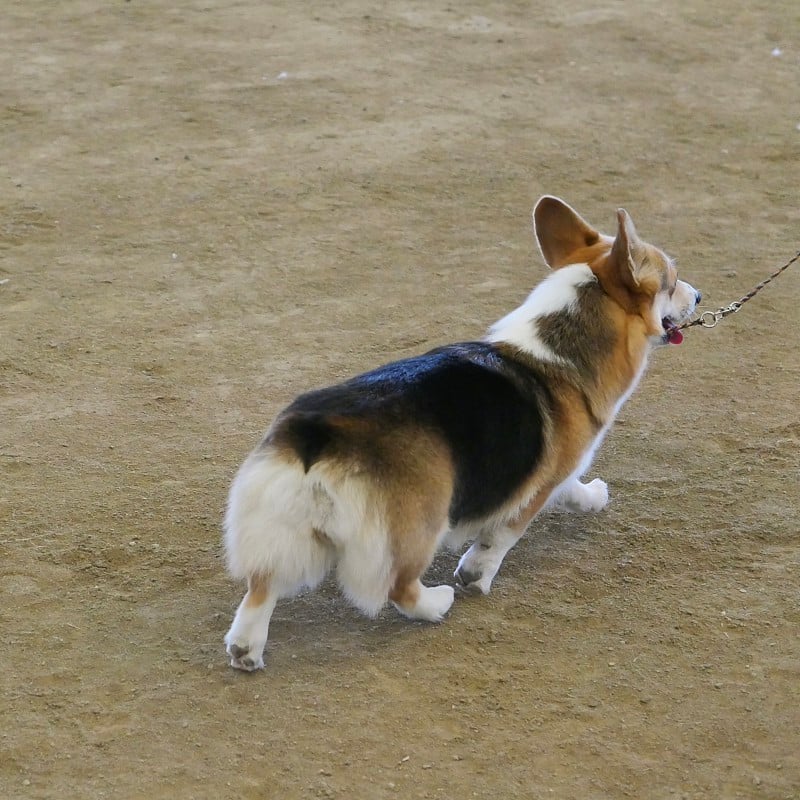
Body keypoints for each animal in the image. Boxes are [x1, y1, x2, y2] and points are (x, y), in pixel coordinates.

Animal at [223, 198, 700, 668]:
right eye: (671, 281)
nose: (699, 295)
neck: (561, 353)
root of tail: (316, 437)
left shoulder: (555, 475)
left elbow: (573, 491)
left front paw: (594, 497)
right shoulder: (539, 483)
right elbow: (502, 537)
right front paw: (475, 576)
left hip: (283, 528)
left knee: (261, 587)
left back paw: (246, 649)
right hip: (420, 525)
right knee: (399, 587)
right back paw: (438, 603)